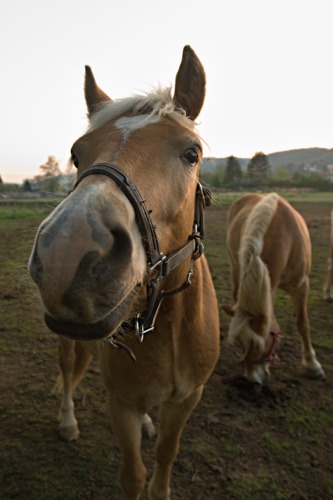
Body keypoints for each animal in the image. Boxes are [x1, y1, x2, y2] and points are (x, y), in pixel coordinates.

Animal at [28, 45, 219, 498]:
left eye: (191, 153)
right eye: (77, 154)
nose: (68, 250)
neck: (166, 327)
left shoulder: (187, 398)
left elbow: (166, 455)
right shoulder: (120, 403)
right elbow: (133, 474)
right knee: (68, 369)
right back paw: (67, 421)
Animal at [222, 193, 322, 384]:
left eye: (258, 346)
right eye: (240, 343)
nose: (253, 379)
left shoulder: (301, 287)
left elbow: (303, 323)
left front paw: (313, 365)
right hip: (234, 267)